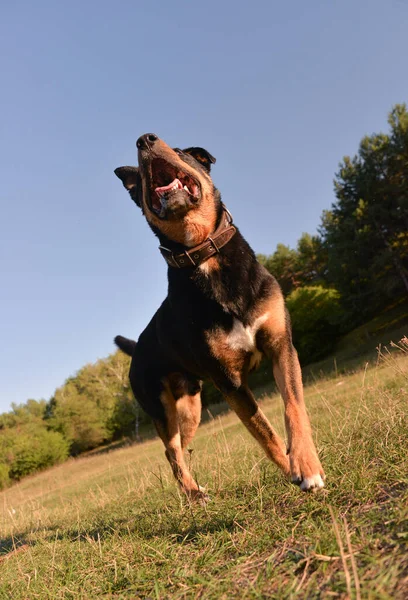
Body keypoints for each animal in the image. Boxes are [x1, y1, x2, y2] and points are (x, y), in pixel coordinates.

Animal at [114, 132, 326, 502]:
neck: (204, 254)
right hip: (163, 408)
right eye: (139, 176)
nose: (144, 139)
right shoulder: (230, 383)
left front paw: (305, 464)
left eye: (182, 152)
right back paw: (193, 494)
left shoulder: (281, 348)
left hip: (190, 409)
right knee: (171, 451)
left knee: (179, 448)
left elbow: (293, 410)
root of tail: (137, 346)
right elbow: (265, 432)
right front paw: (292, 470)